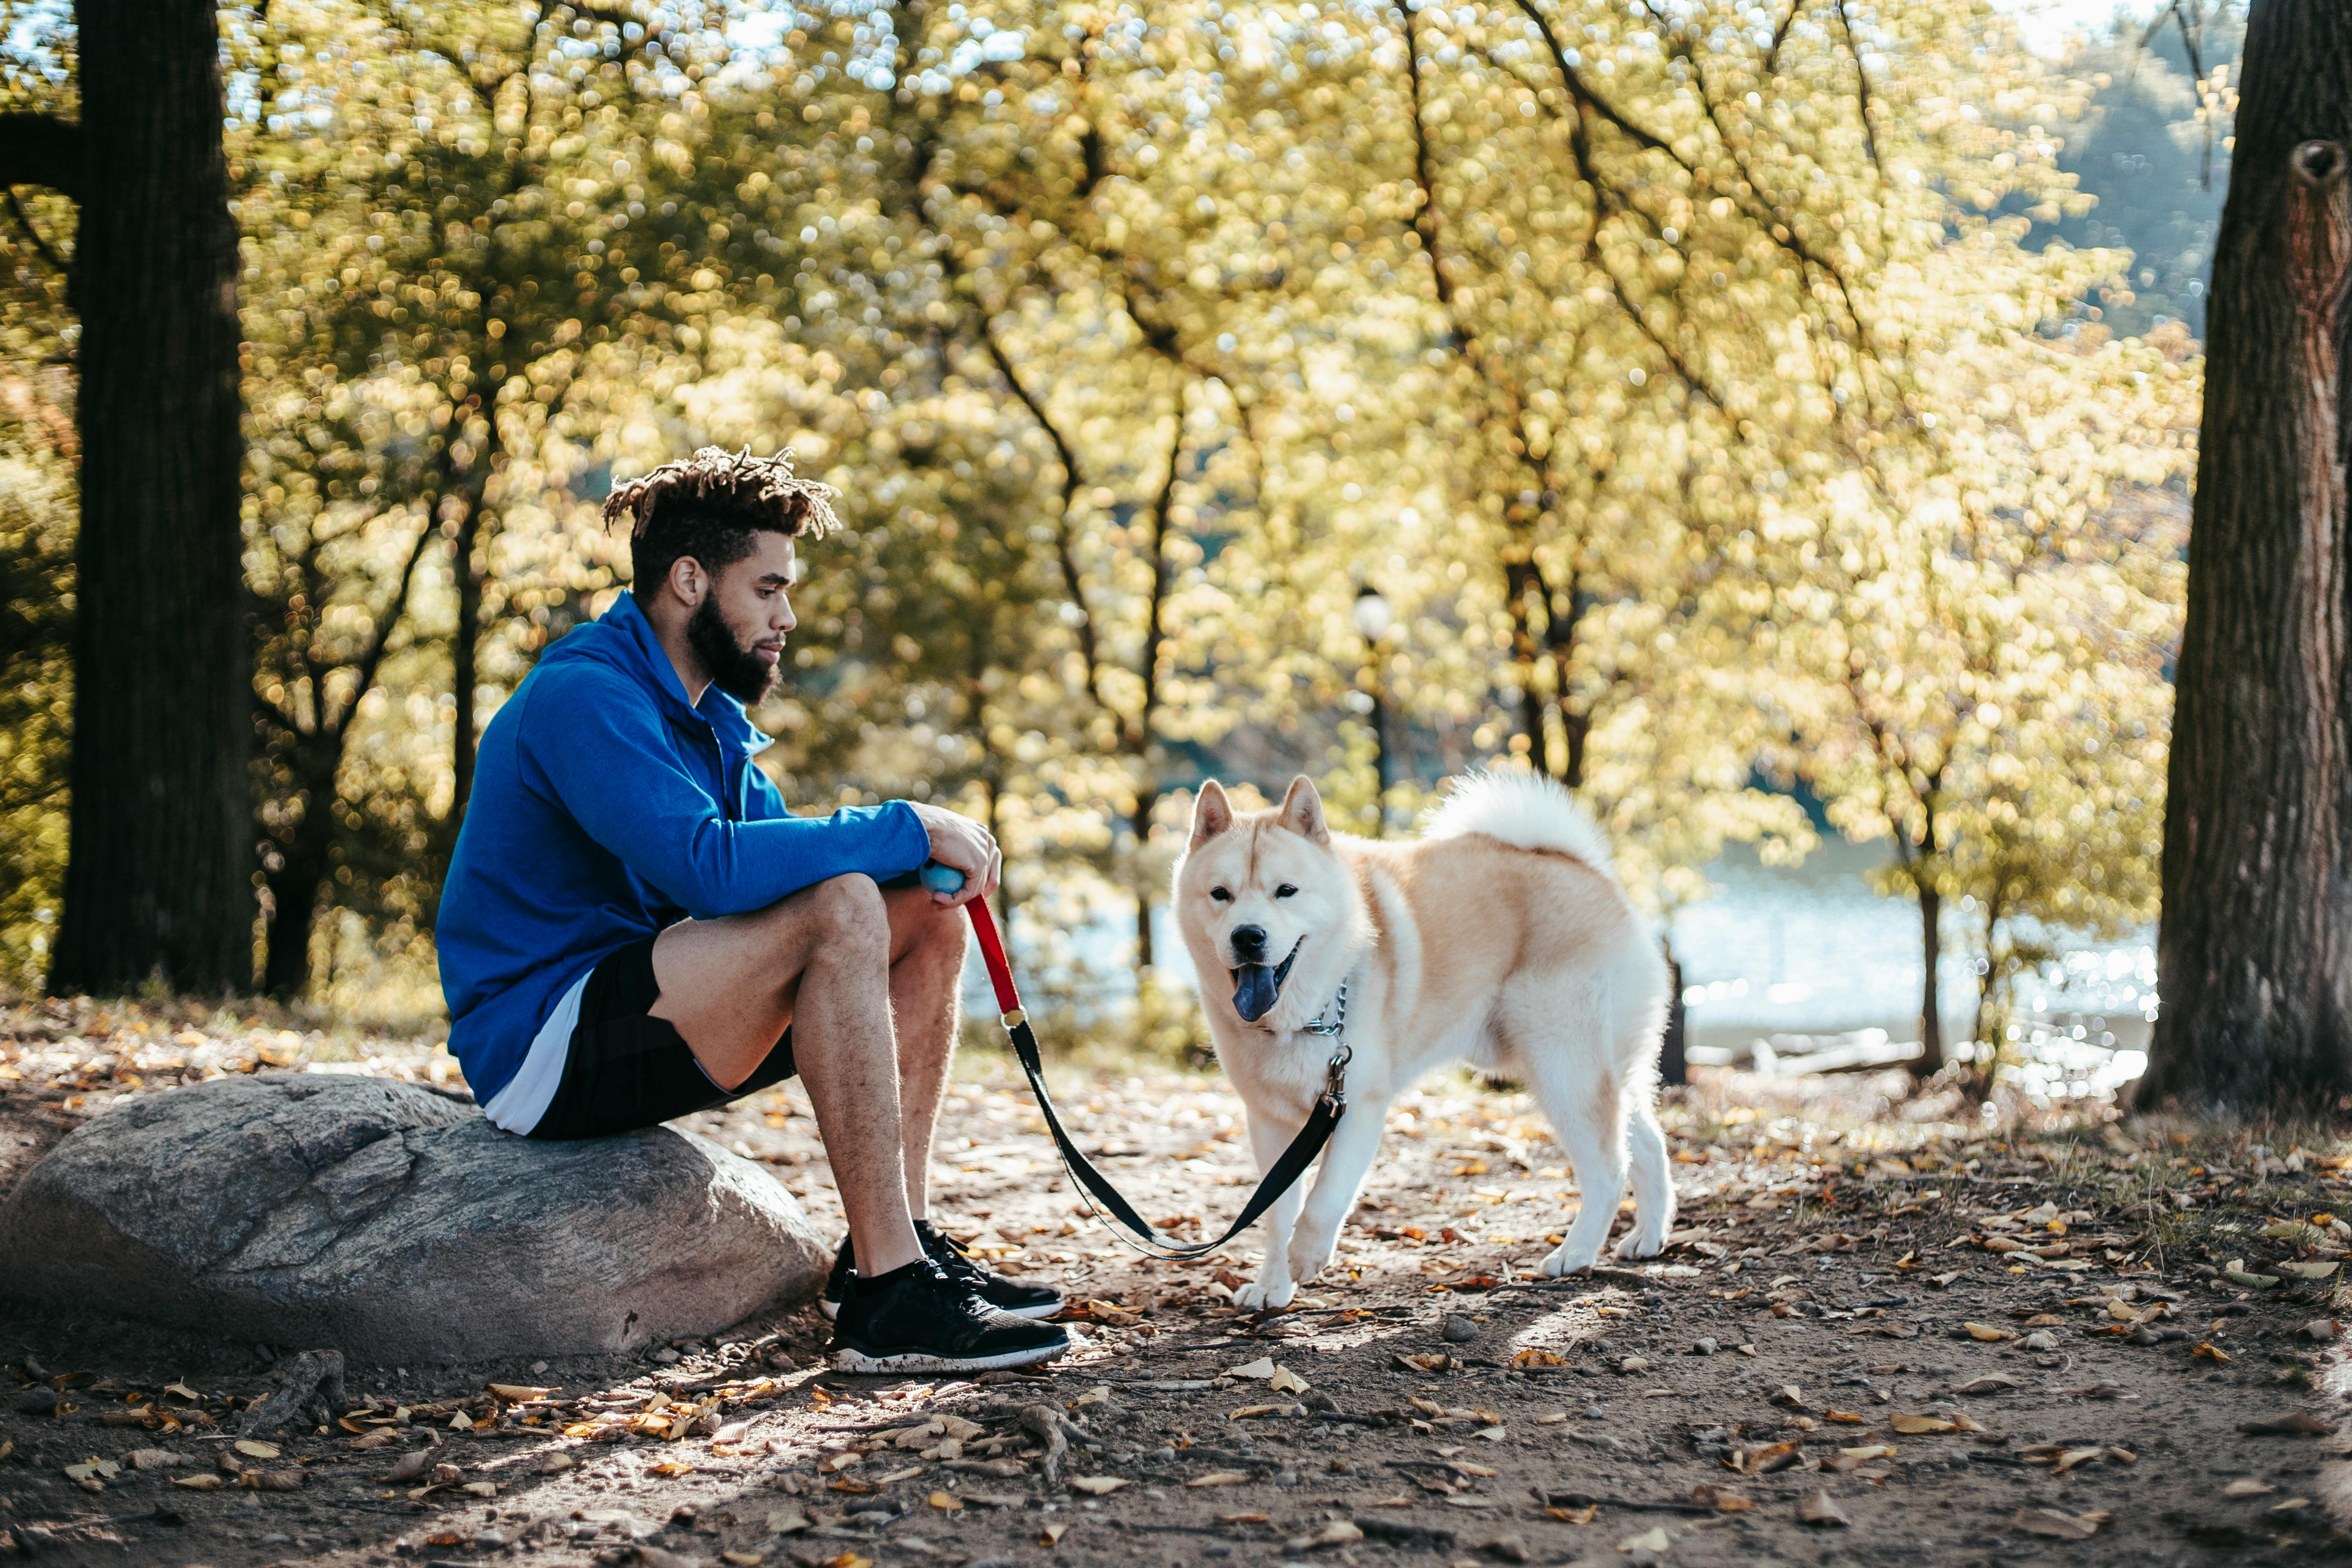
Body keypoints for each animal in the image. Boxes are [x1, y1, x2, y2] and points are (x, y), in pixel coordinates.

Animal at [1171, 766, 1674, 1307]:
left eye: (1286, 890)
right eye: (1220, 894)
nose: (1248, 935)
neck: (1307, 1010)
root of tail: (1579, 865)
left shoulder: (1355, 1106)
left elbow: (1324, 1199)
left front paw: (1304, 1256)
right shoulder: (1269, 1121)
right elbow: (1276, 1210)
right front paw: (1272, 1284)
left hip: (1562, 1067)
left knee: (1608, 1167)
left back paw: (1575, 1253)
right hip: (1598, 1068)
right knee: (1646, 1145)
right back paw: (1648, 1237)